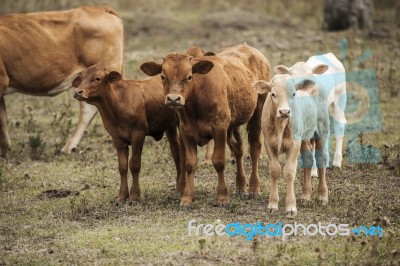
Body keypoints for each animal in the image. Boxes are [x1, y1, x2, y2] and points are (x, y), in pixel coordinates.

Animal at [72, 64, 184, 204]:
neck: (117, 105)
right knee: (176, 150)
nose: (77, 92)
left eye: (98, 78)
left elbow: (134, 164)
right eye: (81, 78)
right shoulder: (117, 139)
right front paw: (121, 196)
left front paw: (134, 196)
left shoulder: (138, 134)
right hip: (170, 126)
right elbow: (123, 167)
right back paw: (178, 186)